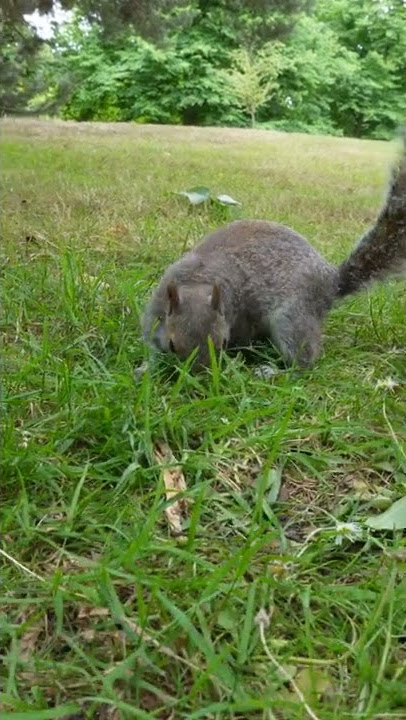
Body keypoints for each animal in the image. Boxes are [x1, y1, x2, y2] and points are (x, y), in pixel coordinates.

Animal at [143, 139, 406, 372]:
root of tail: (332, 282)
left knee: (304, 360)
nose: (199, 375)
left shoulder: (243, 317)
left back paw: (274, 372)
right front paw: (148, 366)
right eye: (172, 345)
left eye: (224, 343)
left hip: (293, 316)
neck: (200, 280)